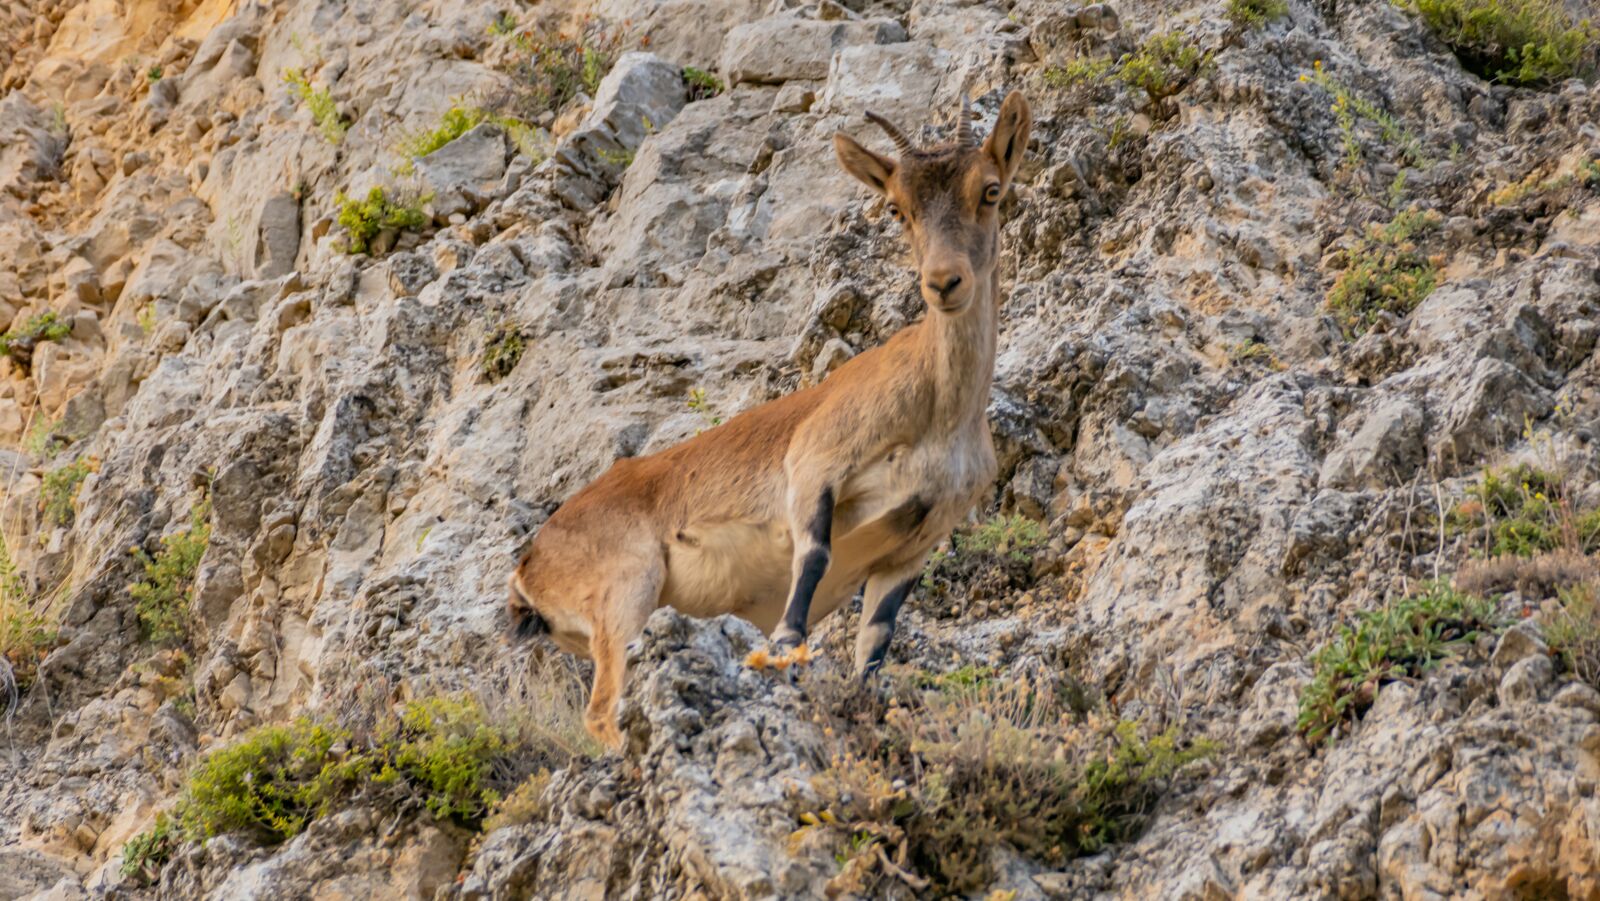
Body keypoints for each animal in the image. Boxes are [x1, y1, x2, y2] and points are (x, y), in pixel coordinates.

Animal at [512, 90, 1036, 748]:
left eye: (989, 189)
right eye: (897, 208)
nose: (944, 283)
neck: (937, 409)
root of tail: (532, 563)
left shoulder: (912, 547)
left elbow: (874, 646)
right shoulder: (814, 464)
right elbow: (812, 554)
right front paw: (785, 646)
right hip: (625, 591)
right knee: (602, 708)